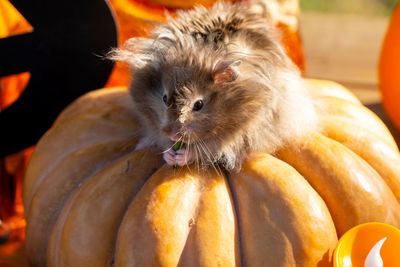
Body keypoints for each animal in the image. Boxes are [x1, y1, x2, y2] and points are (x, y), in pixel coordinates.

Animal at [109, 1, 316, 171]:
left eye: (198, 105)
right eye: (164, 97)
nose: (174, 135)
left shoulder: (239, 132)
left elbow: (206, 149)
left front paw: (181, 156)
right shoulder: (154, 123)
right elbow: (162, 139)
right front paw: (169, 154)